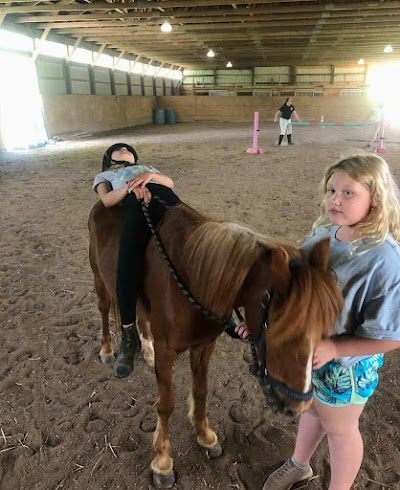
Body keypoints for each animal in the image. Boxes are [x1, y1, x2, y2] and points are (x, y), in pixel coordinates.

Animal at [89, 200, 342, 490]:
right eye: (283, 331)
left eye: (323, 330)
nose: (298, 406)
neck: (193, 278)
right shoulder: (167, 351)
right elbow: (166, 404)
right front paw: (162, 463)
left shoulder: (204, 345)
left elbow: (201, 391)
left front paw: (205, 437)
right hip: (99, 279)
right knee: (104, 308)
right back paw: (109, 351)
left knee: (139, 315)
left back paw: (145, 349)